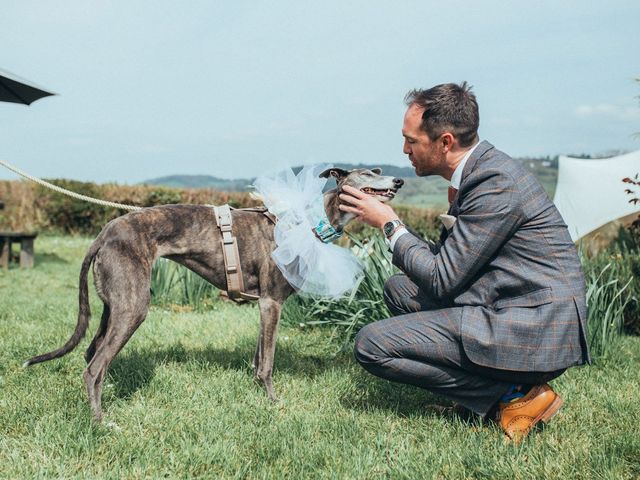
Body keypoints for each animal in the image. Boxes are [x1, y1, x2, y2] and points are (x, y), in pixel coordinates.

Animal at [26, 168, 404, 420]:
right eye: (369, 173)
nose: (398, 181)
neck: (309, 221)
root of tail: (104, 233)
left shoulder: (263, 307)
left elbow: (257, 358)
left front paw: (257, 393)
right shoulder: (272, 303)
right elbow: (268, 363)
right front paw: (273, 403)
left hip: (113, 305)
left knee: (92, 354)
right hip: (133, 307)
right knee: (94, 368)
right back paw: (102, 423)